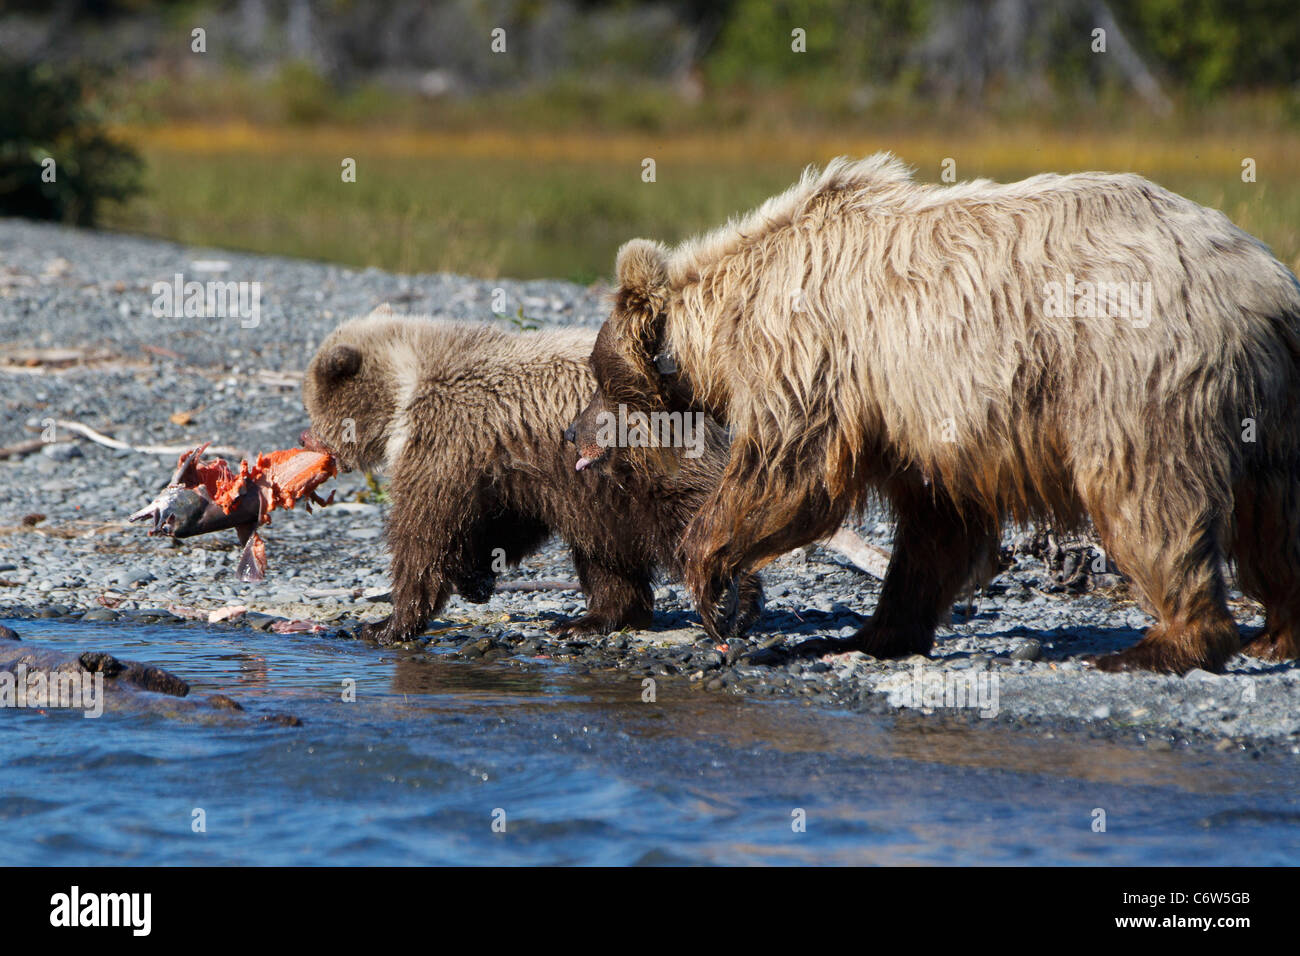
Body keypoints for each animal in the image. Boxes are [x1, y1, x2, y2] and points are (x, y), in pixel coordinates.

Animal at [301, 310, 759, 647]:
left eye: (312, 404)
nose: (306, 437)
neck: (405, 392)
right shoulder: (511, 466)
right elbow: (505, 520)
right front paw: (475, 577)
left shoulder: (446, 438)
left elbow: (424, 531)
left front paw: (385, 624)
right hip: (605, 492)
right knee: (603, 551)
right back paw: (589, 620)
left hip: (647, 466)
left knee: (692, 517)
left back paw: (734, 606)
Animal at [577, 155, 1300, 671]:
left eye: (597, 374)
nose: (576, 432)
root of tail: (1266, 281)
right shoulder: (917, 414)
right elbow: (936, 526)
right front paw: (871, 631)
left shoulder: (811, 352)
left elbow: (790, 477)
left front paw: (708, 572)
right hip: (1268, 405)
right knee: (1273, 518)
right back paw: (1277, 632)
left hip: (1133, 371)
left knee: (1149, 494)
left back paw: (1160, 645)